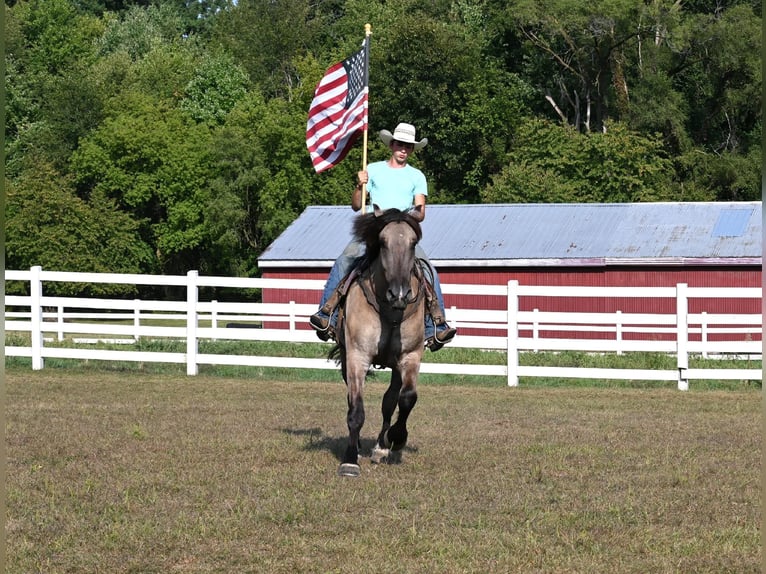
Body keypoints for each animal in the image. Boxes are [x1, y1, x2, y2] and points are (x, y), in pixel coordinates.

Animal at [330, 206, 426, 478]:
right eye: (382, 242)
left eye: (413, 243)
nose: (400, 294)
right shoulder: (357, 357)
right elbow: (356, 410)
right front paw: (350, 460)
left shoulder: (410, 356)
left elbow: (406, 399)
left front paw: (396, 438)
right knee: (353, 399)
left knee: (390, 401)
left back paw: (381, 447)